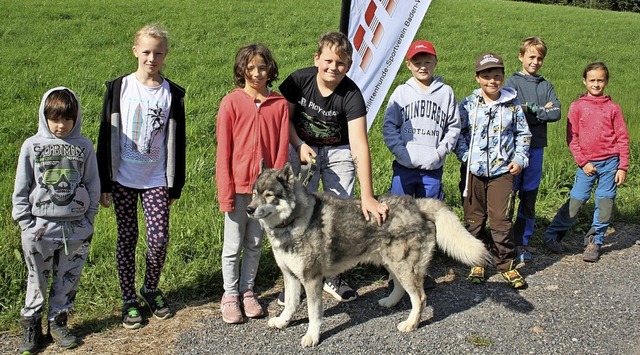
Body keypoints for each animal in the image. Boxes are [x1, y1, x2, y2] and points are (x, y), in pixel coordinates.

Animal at [245, 164, 490, 348]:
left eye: (269, 195)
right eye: (254, 193)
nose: (248, 209)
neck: (292, 222)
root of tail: (417, 204)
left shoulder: (312, 279)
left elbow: (314, 313)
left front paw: (312, 336)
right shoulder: (291, 276)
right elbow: (291, 304)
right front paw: (283, 322)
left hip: (403, 266)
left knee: (419, 297)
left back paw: (411, 324)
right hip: (392, 262)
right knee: (401, 288)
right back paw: (390, 302)